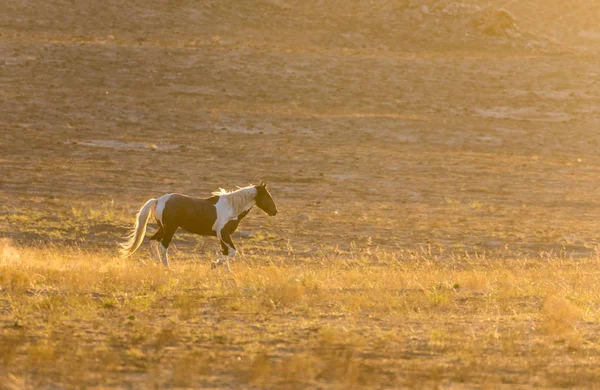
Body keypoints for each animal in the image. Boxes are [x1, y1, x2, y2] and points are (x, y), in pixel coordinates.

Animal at [120, 182, 278, 268]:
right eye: (267, 196)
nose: (274, 212)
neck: (232, 208)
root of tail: (158, 200)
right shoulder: (224, 234)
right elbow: (233, 252)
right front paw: (214, 265)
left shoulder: (222, 237)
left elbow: (227, 253)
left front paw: (227, 273)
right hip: (170, 228)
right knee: (162, 246)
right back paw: (168, 268)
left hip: (163, 228)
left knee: (153, 242)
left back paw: (158, 265)